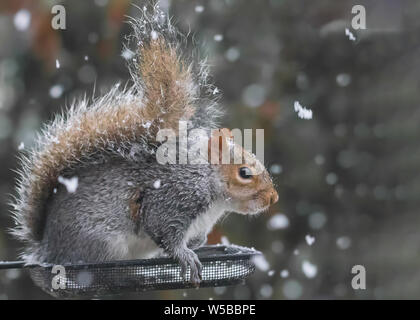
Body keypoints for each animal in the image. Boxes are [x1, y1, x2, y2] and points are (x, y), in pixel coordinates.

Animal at [9, 4, 278, 284]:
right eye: (244, 173)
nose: (273, 198)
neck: (211, 191)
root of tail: (46, 248)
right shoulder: (175, 197)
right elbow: (163, 230)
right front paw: (185, 255)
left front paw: (195, 245)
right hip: (101, 245)